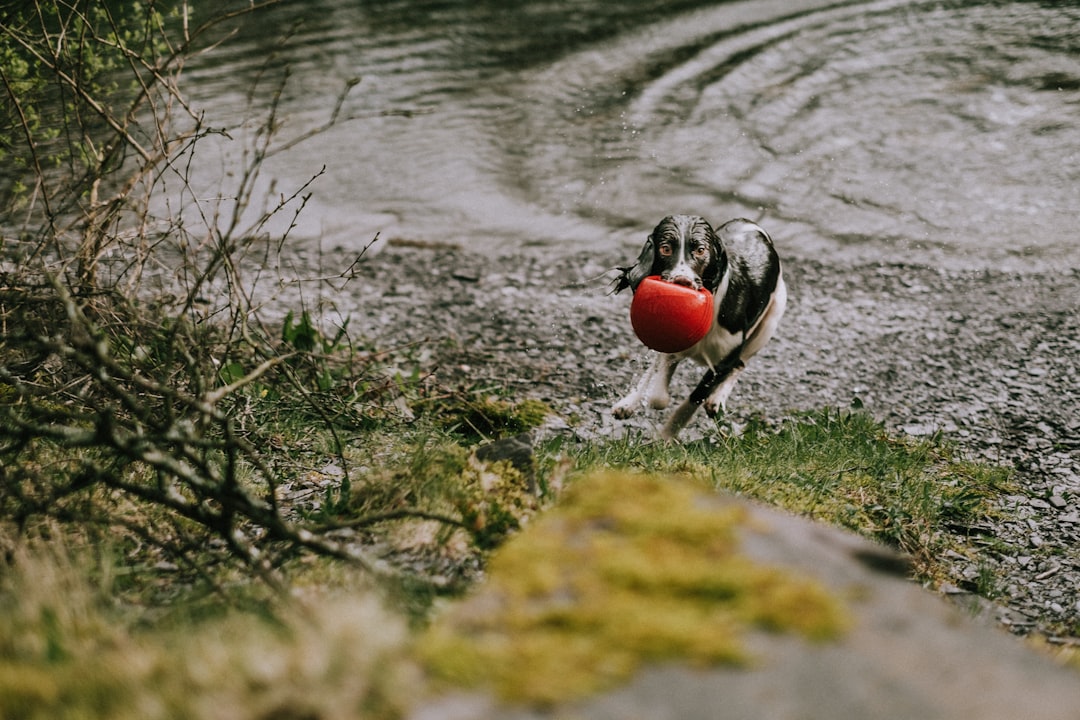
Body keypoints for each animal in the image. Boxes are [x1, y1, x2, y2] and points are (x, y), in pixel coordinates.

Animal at [617, 213, 786, 440]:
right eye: (665, 248)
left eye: (700, 250)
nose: (683, 281)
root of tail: (749, 223)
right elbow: (659, 390)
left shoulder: (724, 360)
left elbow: (694, 398)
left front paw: (667, 435)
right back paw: (628, 404)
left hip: (768, 324)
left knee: (741, 364)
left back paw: (716, 400)